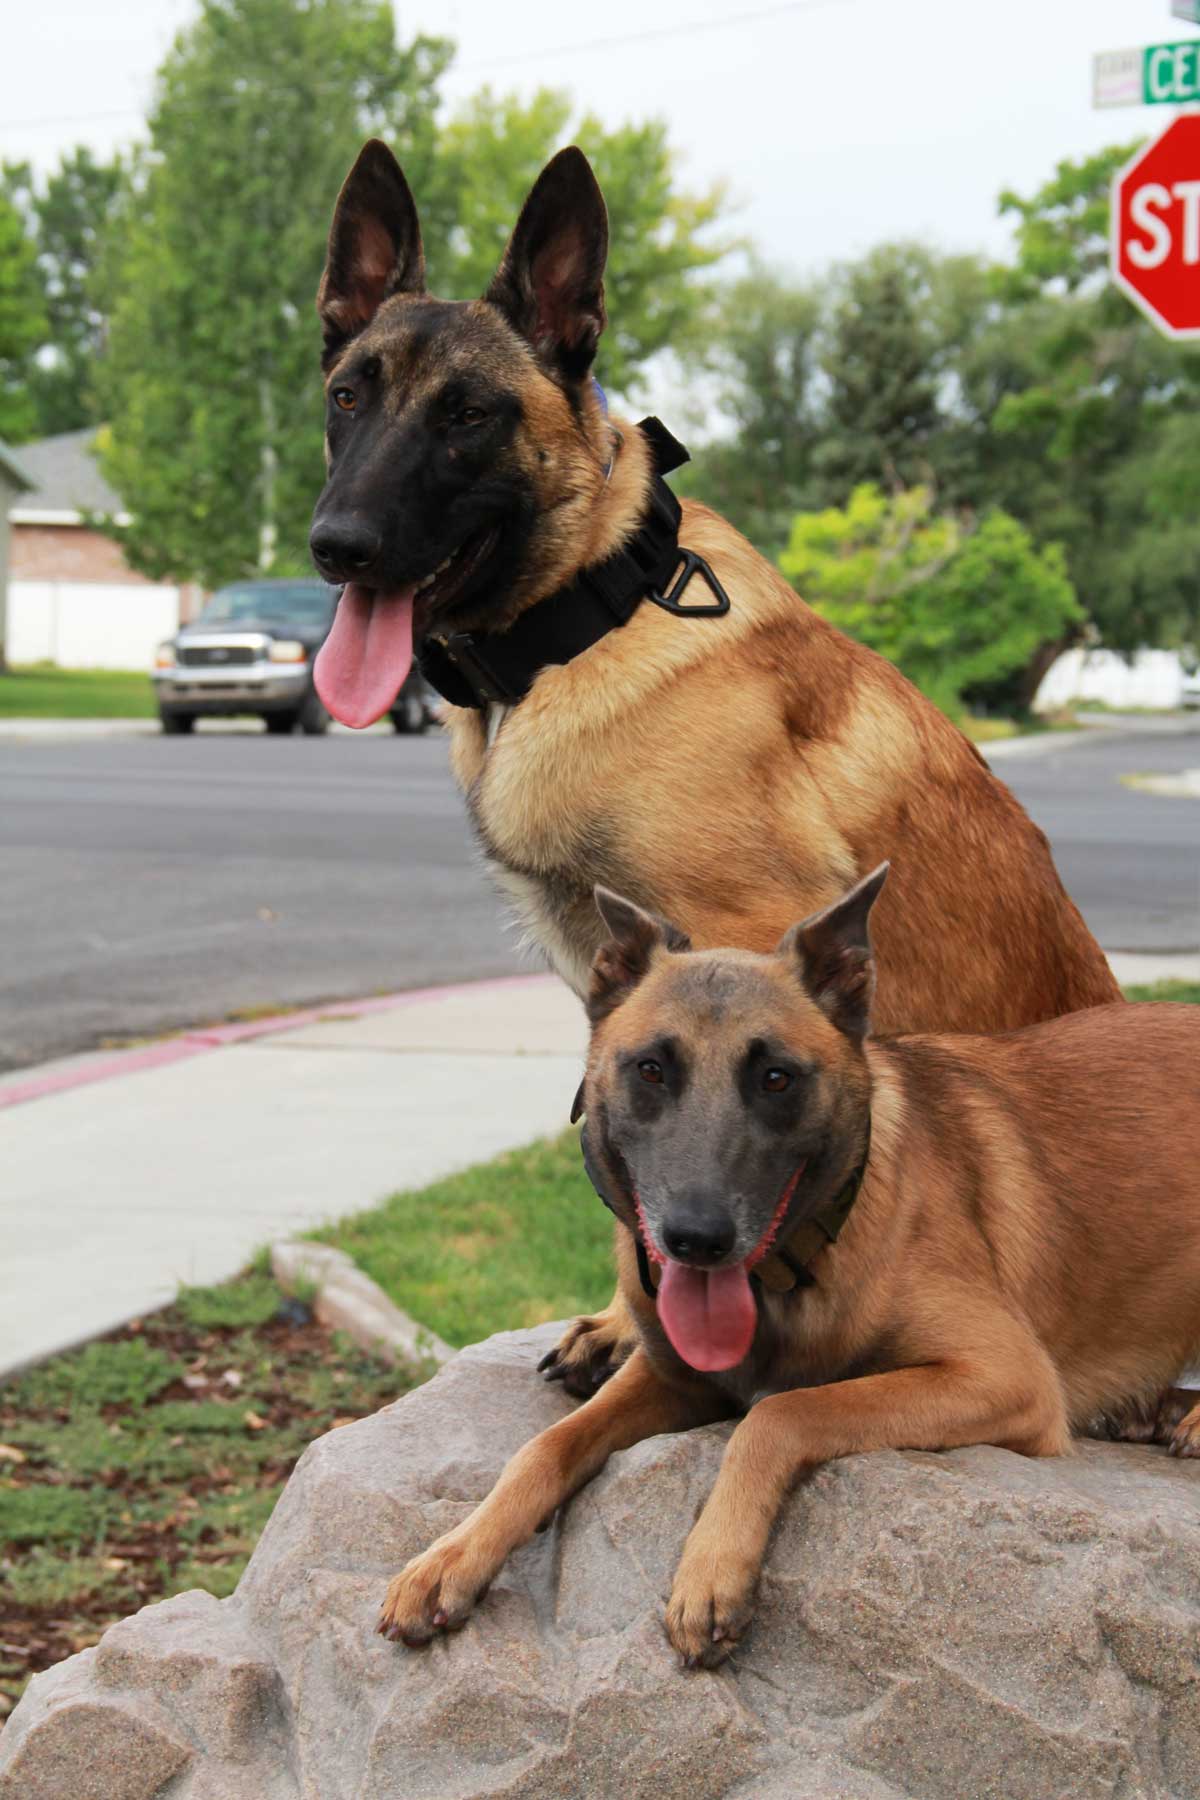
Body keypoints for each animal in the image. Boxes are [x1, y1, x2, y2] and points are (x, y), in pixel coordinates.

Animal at [379, 864, 1200, 1663]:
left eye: (776, 1078)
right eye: (650, 1070)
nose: (695, 1238)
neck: (797, 1270)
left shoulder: (1004, 1378)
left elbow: (781, 1410)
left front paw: (711, 1566)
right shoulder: (672, 1378)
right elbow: (544, 1447)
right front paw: (451, 1555)